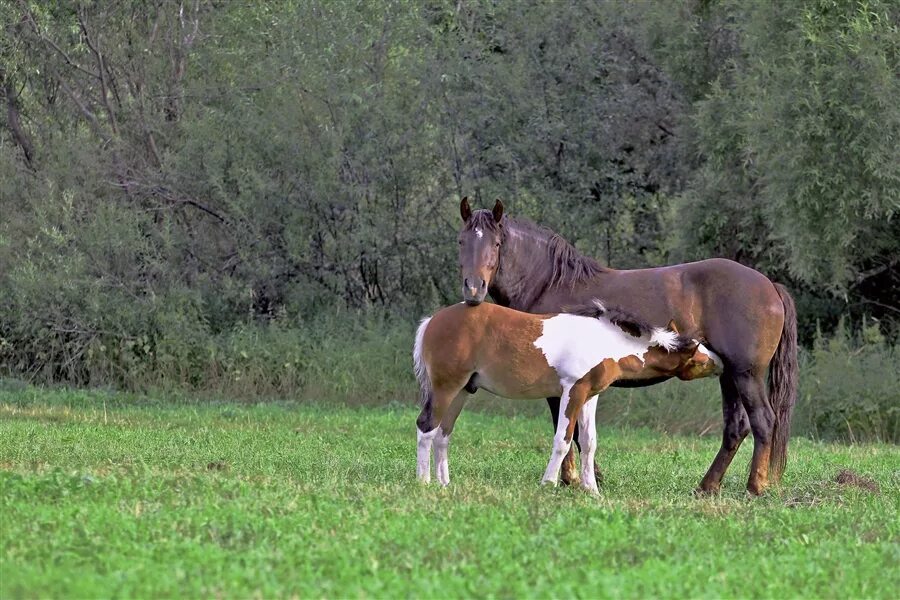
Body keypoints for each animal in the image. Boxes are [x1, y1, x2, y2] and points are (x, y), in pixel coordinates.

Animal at [416, 300, 724, 492]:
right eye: (697, 353)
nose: (721, 361)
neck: (606, 341)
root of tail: (431, 320)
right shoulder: (573, 391)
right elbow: (563, 441)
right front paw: (548, 484)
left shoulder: (590, 396)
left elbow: (588, 443)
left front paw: (592, 490)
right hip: (446, 388)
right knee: (426, 427)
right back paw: (424, 482)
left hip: (462, 392)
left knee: (443, 435)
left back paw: (444, 484)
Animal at [458, 199, 796, 494]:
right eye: (462, 241)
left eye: (496, 244)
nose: (474, 289)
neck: (550, 285)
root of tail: (770, 286)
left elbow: (566, 427)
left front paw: (571, 479)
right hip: (728, 375)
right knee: (736, 427)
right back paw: (706, 487)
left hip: (745, 373)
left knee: (763, 422)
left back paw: (754, 488)